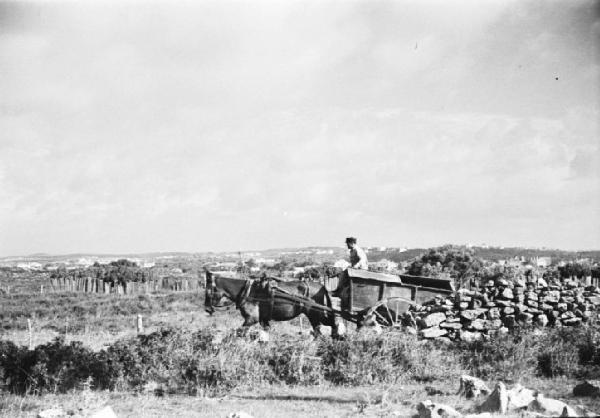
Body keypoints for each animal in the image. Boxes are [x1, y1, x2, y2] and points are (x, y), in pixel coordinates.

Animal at [205, 272, 340, 336]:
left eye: (208, 291)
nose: (207, 309)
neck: (247, 291)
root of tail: (321, 286)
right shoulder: (263, 320)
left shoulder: (251, 319)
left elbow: (239, 333)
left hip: (315, 315)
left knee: (327, 327)